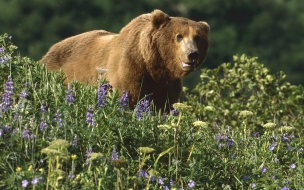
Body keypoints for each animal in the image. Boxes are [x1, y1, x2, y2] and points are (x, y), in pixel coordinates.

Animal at [40, 10, 209, 111]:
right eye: (179, 36)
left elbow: (165, 106)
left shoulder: (167, 83)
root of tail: (49, 51)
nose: (192, 54)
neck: (152, 64)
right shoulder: (129, 69)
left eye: (197, 37)